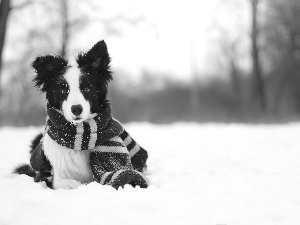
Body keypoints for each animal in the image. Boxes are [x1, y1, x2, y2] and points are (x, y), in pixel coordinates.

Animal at [14, 40, 148, 190]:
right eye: (63, 90)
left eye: (87, 88)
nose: (76, 109)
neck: (80, 138)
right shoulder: (59, 179)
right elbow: (74, 184)